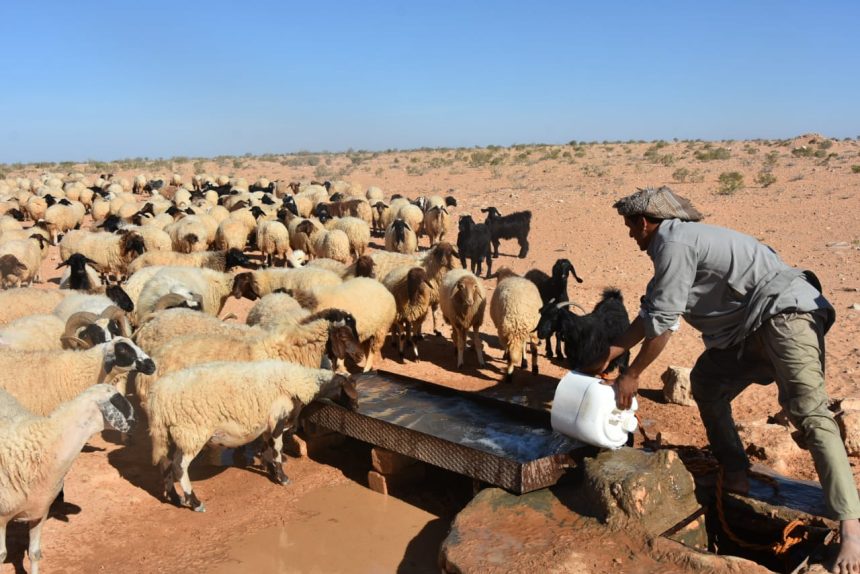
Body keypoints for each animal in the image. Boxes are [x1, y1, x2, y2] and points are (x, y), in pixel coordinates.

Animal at [0, 384, 136, 574]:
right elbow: (2, 556)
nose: (135, 422)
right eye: (116, 400)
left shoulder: (39, 512)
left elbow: (34, 553)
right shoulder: (1, 518)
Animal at [149, 362, 358, 516]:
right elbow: (277, 450)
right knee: (179, 468)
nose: (357, 409)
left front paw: (270, 470)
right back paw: (195, 502)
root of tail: (157, 399)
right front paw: (283, 477)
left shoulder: (266, 424)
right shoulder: (277, 420)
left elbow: (266, 448)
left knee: (166, 464)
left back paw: (174, 498)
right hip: (191, 433)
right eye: (349, 392)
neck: (298, 382)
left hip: (170, 436)